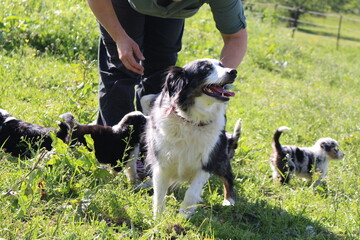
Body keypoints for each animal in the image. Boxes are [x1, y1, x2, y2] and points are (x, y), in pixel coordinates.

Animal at [143, 58, 239, 218]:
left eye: (222, 65)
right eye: (206, 69)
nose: (233, 71)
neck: (191, 120)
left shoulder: (206, 161)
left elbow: (192, 193)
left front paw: (183, 215)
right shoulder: (161, 162)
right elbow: (159, 193)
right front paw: (158, 218)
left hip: (220, 157)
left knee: (228, 176)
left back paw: (229, 200)